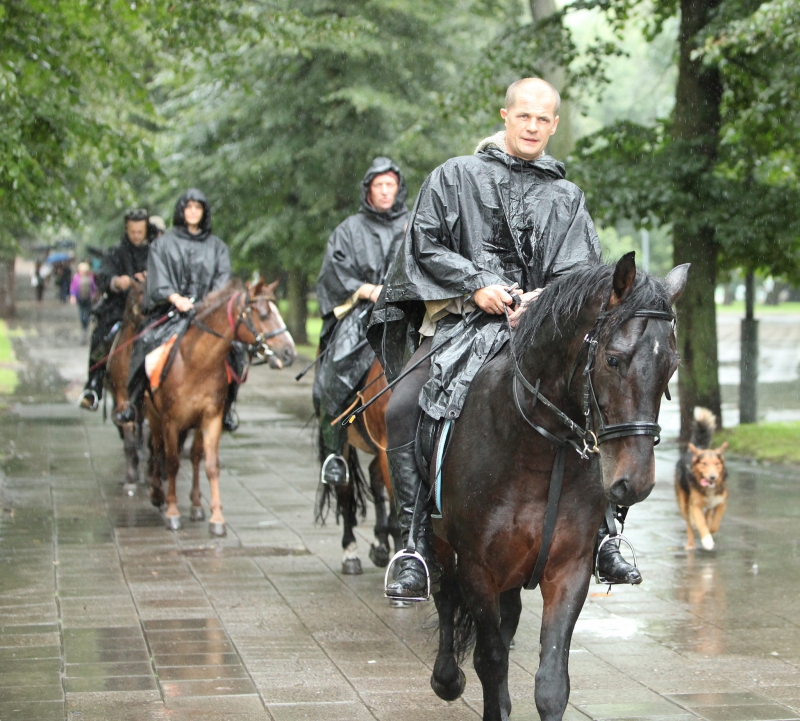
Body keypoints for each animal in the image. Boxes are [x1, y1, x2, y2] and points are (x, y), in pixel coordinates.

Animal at [145, 278, 296, 536]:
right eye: (264, 315)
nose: (290, 353)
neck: (196, 364)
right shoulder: (169, 421)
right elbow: (172, 462)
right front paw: (172, 512)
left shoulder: (211, 417)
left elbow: (211, 465)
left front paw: (216, 517)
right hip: (152, 414)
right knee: (157, 448)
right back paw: (156, 493)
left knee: (195, 457)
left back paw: (196, 504)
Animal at [432, 255, 688, 720]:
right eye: (613, 360)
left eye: (672, 366)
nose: (635, 482)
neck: (534, 449)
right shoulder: (477, 568)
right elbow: (490, 659)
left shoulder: (568, 568)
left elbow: (551, 683)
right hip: (440, 541)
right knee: (443, 593)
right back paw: (445, 676)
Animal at [672, 404, 728, 552]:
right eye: (704, 464)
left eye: (717, 464)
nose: (713, 477)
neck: (709, 489)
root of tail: (698, 449)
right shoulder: (695, 505)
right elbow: (701, 524)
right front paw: (707, 540)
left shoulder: (721, 502)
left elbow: (714, 523)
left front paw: (711, 528)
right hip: (683, 502)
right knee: (689, 524)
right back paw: (691, 544)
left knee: (707, 514)